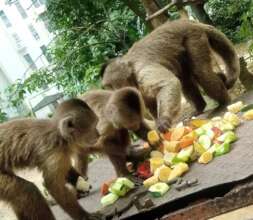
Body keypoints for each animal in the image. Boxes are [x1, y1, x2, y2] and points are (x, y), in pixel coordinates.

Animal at [101, 19, 239, 132]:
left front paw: (163, 120)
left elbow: (169, 83)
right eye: (109, 87)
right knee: (185, 80)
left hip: (193, 37)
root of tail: (189, 22)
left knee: (200, 72)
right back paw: (201, 106)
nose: (113, 94)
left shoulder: (142, 73)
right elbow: (149, 105)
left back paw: (223, 102)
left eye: (114, 87)